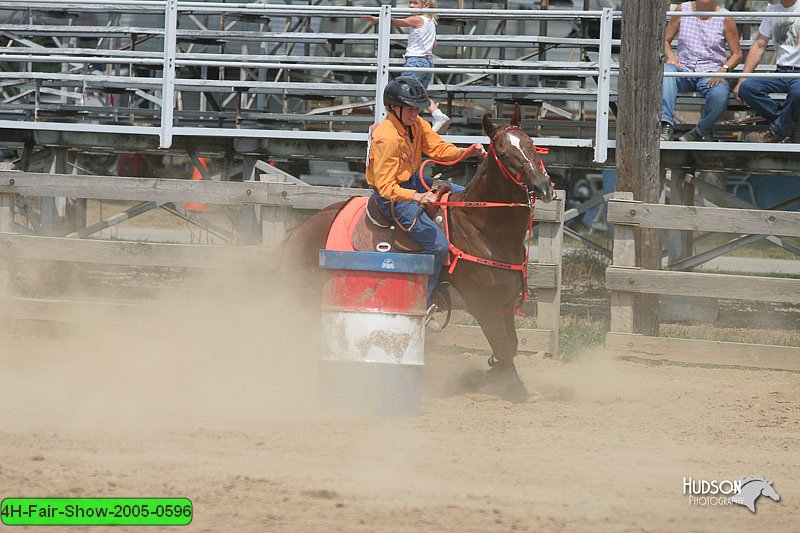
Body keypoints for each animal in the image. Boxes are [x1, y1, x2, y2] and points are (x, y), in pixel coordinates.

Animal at [282, 107, 556, 400]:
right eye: (504, 154)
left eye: (532, 144)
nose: (544, 187)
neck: (481, 228)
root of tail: (297, 232)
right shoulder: (485, 306)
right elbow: (503, 347)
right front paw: (517, 389)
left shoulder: (503, 304)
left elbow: (511, 346)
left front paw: (492, 373)